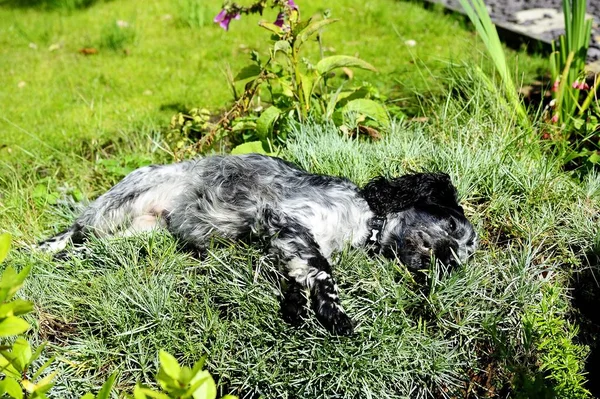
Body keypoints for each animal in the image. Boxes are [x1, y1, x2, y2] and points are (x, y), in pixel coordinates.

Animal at [38, 155, 478, 336]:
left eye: (463, 256)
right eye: (451, 225)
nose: (447, 262)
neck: (363, 220)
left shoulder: (285, 242)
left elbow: (298, 275)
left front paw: (297, 307)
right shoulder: (288, 219)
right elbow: (323, 271)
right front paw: (335, 316)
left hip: (140, 234)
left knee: (94, 247)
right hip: (115, 206)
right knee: (75, 232)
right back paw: (44, 250)